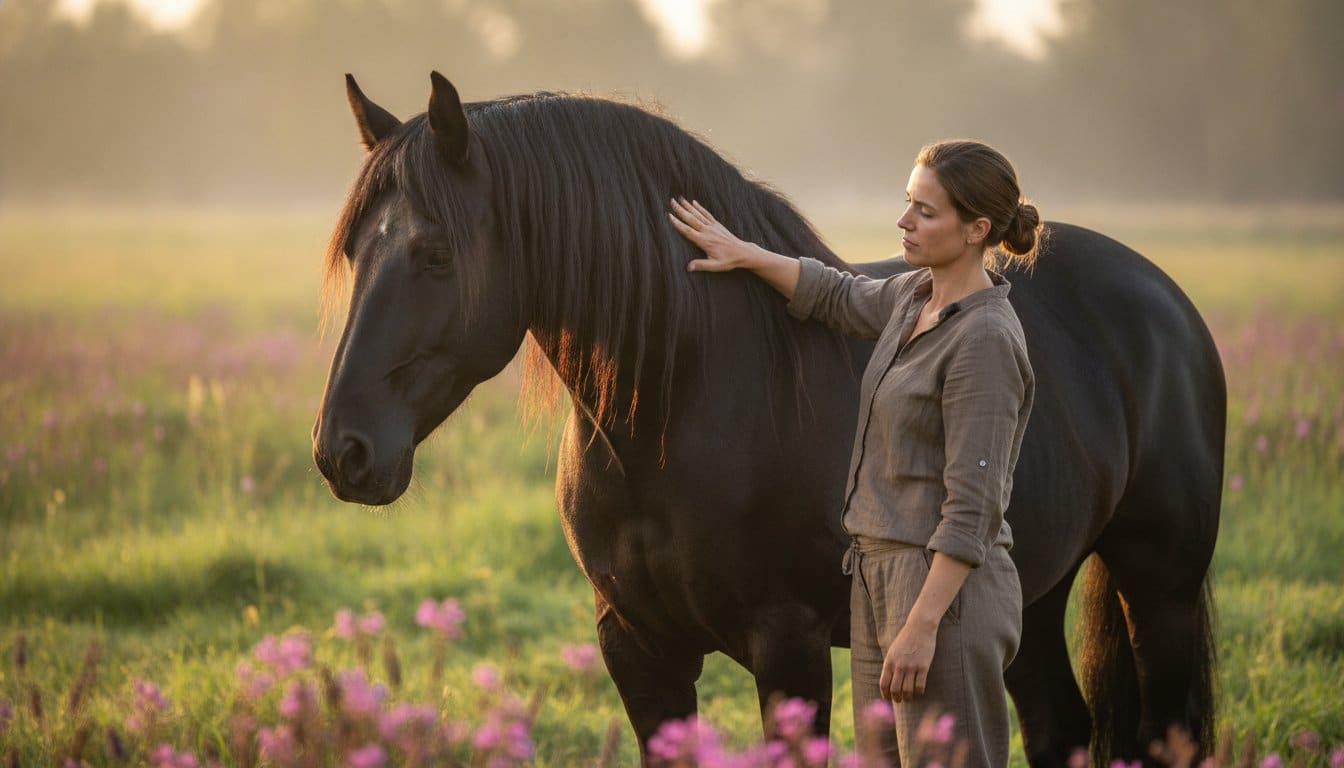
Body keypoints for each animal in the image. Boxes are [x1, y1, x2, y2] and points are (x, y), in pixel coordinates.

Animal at [313, 72, 1224, 766]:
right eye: (356, 250)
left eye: (434, 255)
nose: (342, 452)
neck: (684, 401)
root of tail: (1165, 301)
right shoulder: (636, 649)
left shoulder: (787, 647)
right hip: (1032, 589)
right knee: (1057, 725)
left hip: (1160, 591)